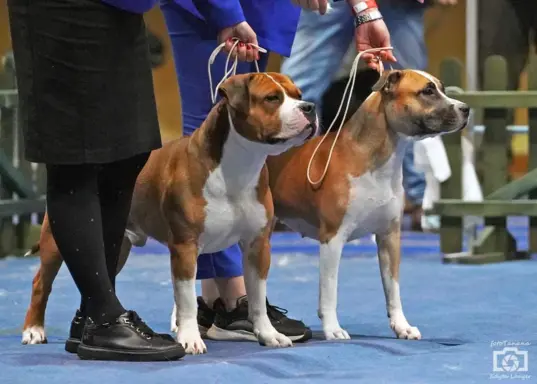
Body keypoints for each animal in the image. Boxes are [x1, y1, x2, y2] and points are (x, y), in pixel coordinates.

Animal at [22, 71, 318, 354]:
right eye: (271, 98)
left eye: (298, 94)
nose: (310, 107)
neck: (239, 166)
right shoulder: (185, 247)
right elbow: (186, 300)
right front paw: (190, 339)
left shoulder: (258, 245)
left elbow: (257, 297)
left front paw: (268, 334)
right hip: (56, 239)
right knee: (40, 283)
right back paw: (34, 330)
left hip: (118, 242)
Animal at [266, 69, 466, 340]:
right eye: (427, 91)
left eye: (442, 89)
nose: (465, 108)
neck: (373, 158)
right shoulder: (332, 239)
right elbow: (329, 290)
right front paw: (333, 329)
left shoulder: (389, 236)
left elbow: (393, 289)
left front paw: (402, 326)